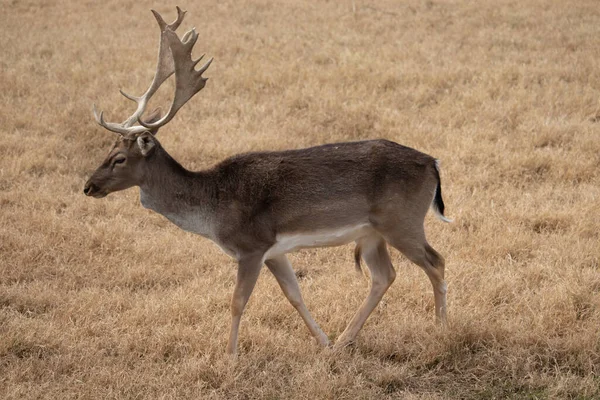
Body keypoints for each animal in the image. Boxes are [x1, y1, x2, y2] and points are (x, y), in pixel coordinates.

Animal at [83, 7, 450, 354]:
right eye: (108, 149)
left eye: (119, 158)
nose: (88, 186)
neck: (212, 209)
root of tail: (432, 164)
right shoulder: (274, 250)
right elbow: (294, 294)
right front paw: (324, 343)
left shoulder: (251, 245)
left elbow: (237, 302)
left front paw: (230, 356)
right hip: (372, 233)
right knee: (384, 275)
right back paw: (346, 339)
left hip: (401, 220)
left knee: (436, 261)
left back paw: (441, 328)